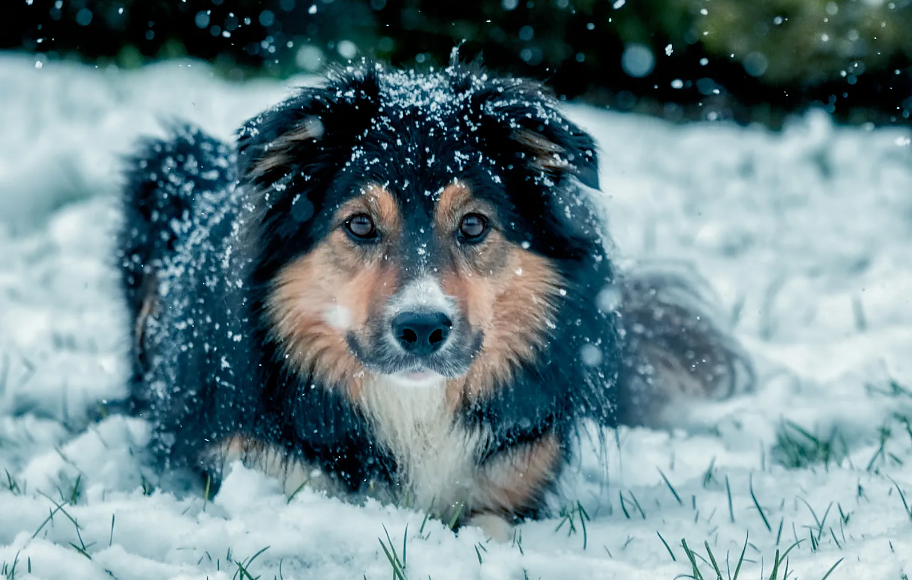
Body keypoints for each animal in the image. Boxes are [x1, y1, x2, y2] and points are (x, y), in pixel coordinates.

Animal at [117, 62, 752, 540]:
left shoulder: (515, 481)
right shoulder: (249, 462)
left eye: (473, 225)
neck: (412, 406)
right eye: (361, 225)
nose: (422, 328)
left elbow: (490, 527)